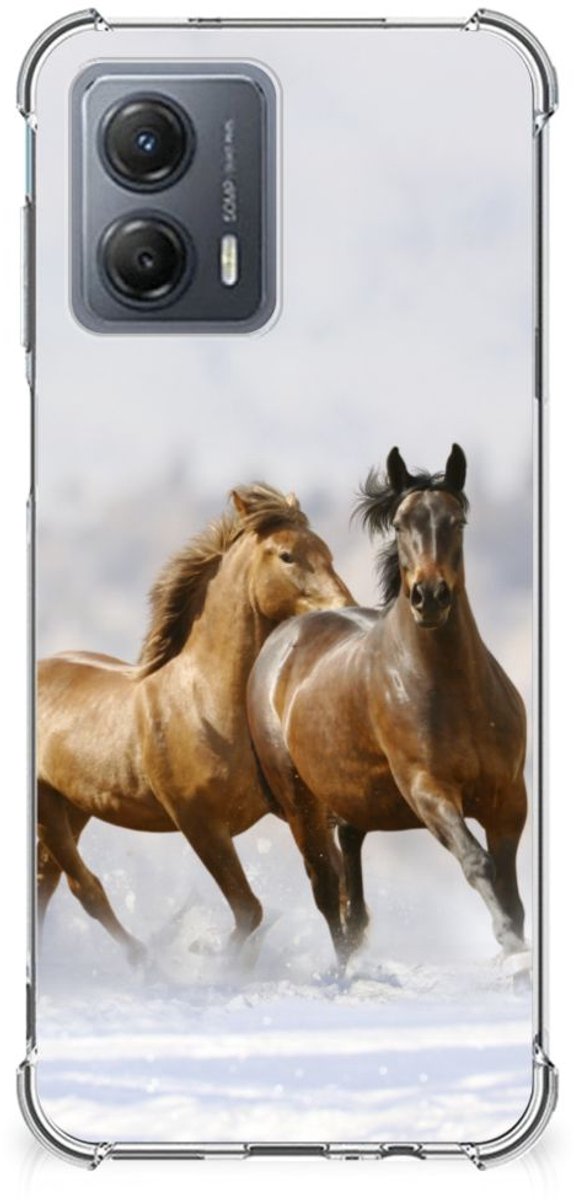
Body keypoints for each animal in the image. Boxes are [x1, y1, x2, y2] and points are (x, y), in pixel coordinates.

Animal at [37, 484, 354, 963]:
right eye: (287, 556)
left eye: (327, 551)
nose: (345, 609)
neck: (206, 703)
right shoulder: (199, 822)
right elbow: (249, 910)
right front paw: (214, 960)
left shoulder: (296, 808)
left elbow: (331, 887)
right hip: (47, 806)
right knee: (82, 887)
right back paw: (146, 961)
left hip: (73, 805)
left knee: (48, 880)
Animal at [247, 446, 528, 965]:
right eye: (399, 524)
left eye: (457, 521)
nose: (429, 597)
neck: (453, 691)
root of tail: (281, 639)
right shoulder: (428, 790)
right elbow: (477, 862)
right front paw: (508, 943)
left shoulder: (509, 798)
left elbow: (511, 888)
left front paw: (517, 945)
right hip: (301, 805)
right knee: (326, 889)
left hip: (352, 802)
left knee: (351, 891)